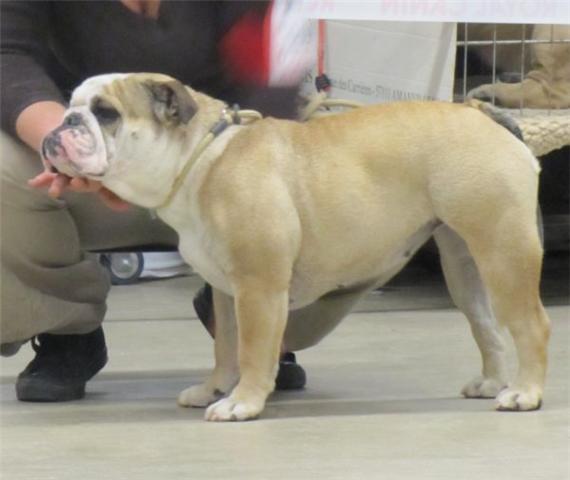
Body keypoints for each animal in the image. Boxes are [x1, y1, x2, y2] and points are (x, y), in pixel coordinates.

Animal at [41, 73, 550, 421]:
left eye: (106, 112)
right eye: (71, 105)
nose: (61, 123)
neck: (200, 158)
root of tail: (482, 114)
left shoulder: (259, 288)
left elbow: (252, 350)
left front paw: (242, 403)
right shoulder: (227, 293)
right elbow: (225, 347)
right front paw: (214, 390)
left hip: (504, 250)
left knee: (530, 324)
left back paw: (525, 393)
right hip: (465, 263)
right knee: (486, 325)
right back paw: (492, 382)